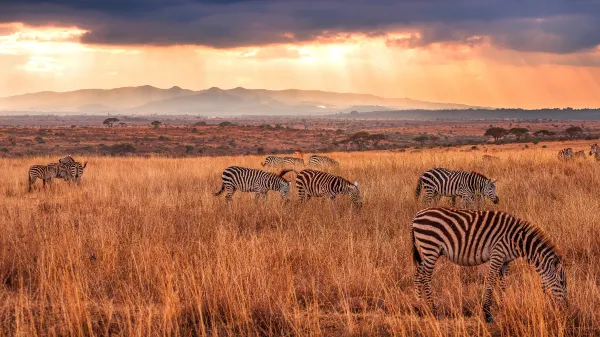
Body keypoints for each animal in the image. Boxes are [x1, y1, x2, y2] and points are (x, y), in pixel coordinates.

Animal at [410, 206, 568, 322]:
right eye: (561, 283)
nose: (566, 309)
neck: (517, 240)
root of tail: (417, 215)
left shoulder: (505, 261)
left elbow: (503, 284)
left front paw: (504, 308)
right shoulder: (497, 255)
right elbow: (491, 283)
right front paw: (487, 313)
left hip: (427, 251)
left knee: (418, 274)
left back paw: (419, 308)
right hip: (430, 247)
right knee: (425, 277)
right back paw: (434, 311)